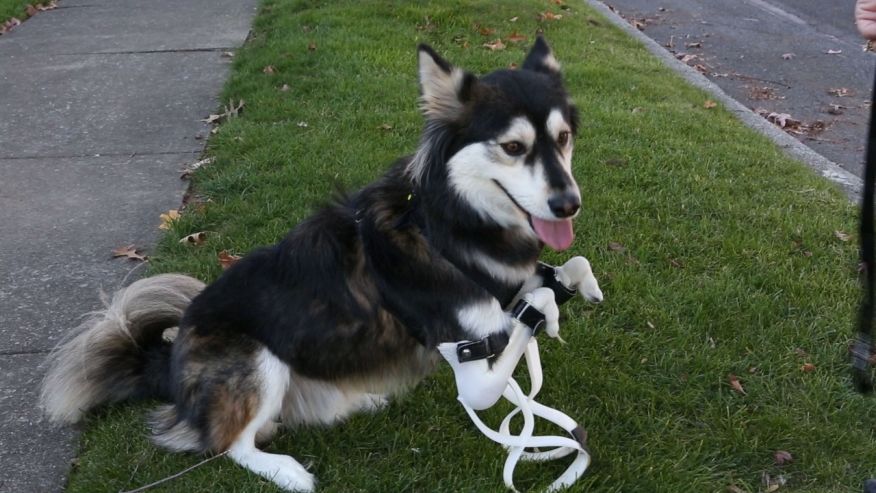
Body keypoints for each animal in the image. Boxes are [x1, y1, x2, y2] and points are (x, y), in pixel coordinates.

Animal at [42, 39, 604, 492]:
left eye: (562, 138)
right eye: (513, 147)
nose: (568, 205)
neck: (446, 224)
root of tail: (169, 363)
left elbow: (564, 266)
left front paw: (576, 292)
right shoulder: (472, 371)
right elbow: (526, 315)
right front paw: (547, 310)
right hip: (256, 359)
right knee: (230, 443)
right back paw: (286, 471)